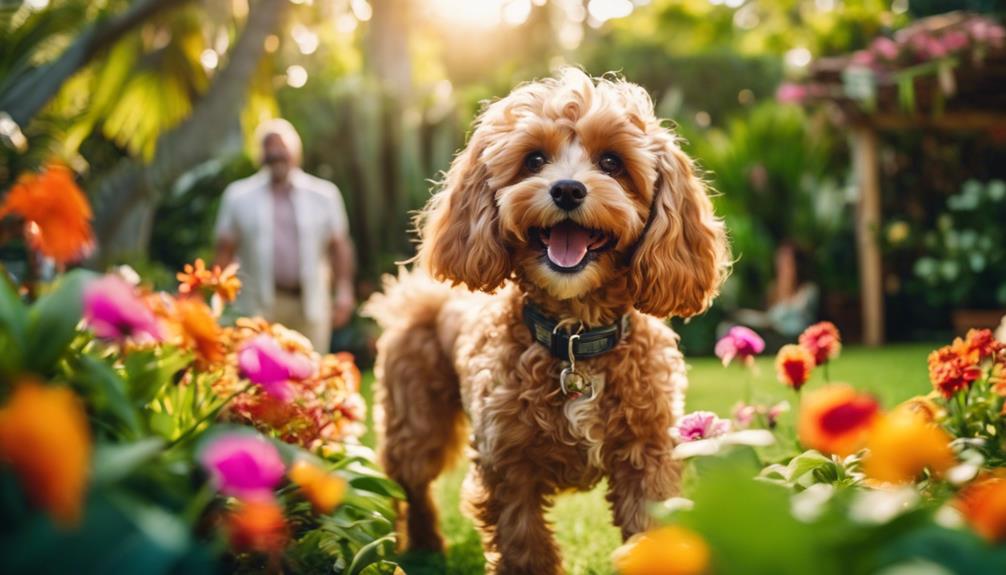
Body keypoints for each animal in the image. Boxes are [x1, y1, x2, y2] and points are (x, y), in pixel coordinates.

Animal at [366, 68, 728, 575]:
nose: (568, 189)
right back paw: (424, 546)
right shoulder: (507, 466)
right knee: (410, 486)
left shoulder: (648, 456)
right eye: (534, 159)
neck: (574, 338)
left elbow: (650, 534)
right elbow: (525, 548)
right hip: (414, 421)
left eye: (612, 162)